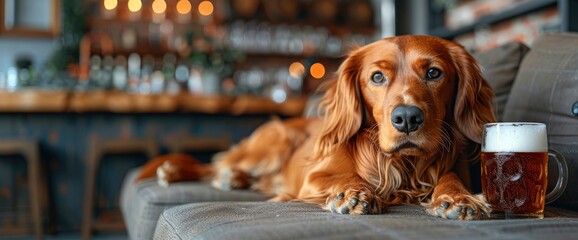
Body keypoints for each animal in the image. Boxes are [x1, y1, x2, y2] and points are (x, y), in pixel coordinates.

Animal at [136, 34, 496, 220]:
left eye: (434, 73)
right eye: (377, 77)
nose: (407, 118)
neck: (400, 164)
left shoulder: (452, 168)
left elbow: (449, 180)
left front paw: (459, 199)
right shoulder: (313, 178)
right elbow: (344, 177)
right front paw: (352, 192)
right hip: (275, 138)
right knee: (214, 165)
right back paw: (179, 171)